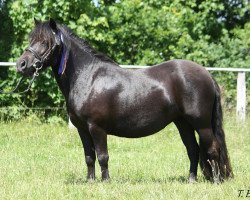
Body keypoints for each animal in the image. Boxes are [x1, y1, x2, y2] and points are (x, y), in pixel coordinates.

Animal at [16, 19, 233, 183]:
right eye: (31, 39)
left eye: (45, 42)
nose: (21, 64)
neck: (88, 77)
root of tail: (206, 74)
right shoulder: (82, 129)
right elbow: (89, 157)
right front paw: (90, 182)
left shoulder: (96, 127)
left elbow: (103, 156)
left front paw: (105, 182)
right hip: (183, 123)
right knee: (193, 150)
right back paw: (191, 180)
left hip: (201, 124)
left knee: (213, 149)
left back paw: (216, 181)